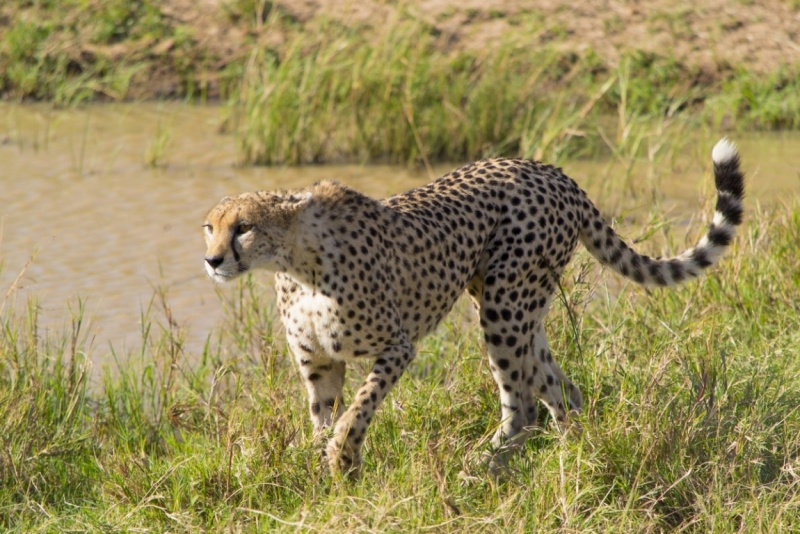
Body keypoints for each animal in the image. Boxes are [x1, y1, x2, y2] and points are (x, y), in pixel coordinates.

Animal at [205, 139, 744, 478]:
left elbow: (358, 408)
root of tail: (550, 170)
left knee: (523, 404)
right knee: (559, 389)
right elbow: (323, 416)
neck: (298, 262)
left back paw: (479, 465)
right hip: (517, 305)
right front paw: (324, 474)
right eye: (209, 227)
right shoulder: (319, 363)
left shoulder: (397, 346)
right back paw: (574, 456)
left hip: (505, 304)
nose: (212, 260)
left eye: (243, 227)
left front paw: (343, 458)